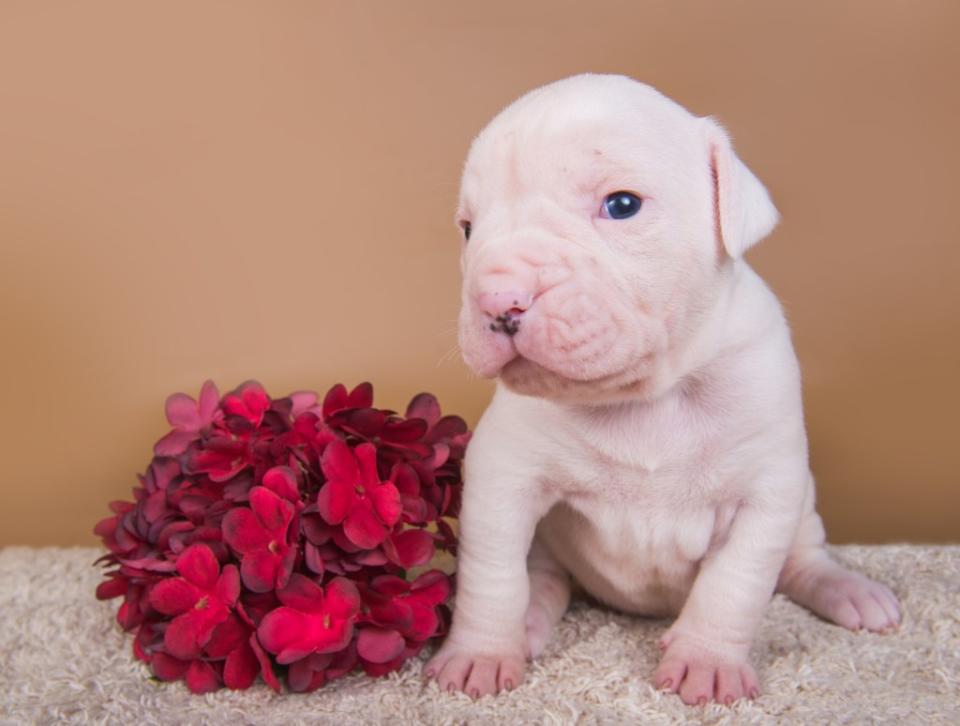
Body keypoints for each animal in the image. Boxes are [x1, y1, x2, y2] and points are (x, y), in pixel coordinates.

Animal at [428, 77, 900, 708]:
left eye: (622, 205)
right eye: (468, 228)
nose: (497, 299)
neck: (644, 395)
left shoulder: (767, 492)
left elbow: (735, 584)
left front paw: (707, 662)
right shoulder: (502, 475)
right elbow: (493, 574)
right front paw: (480, 653)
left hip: (804, 505)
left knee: (802, 559)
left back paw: (849, 590)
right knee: (544, 575)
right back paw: (530, 621)